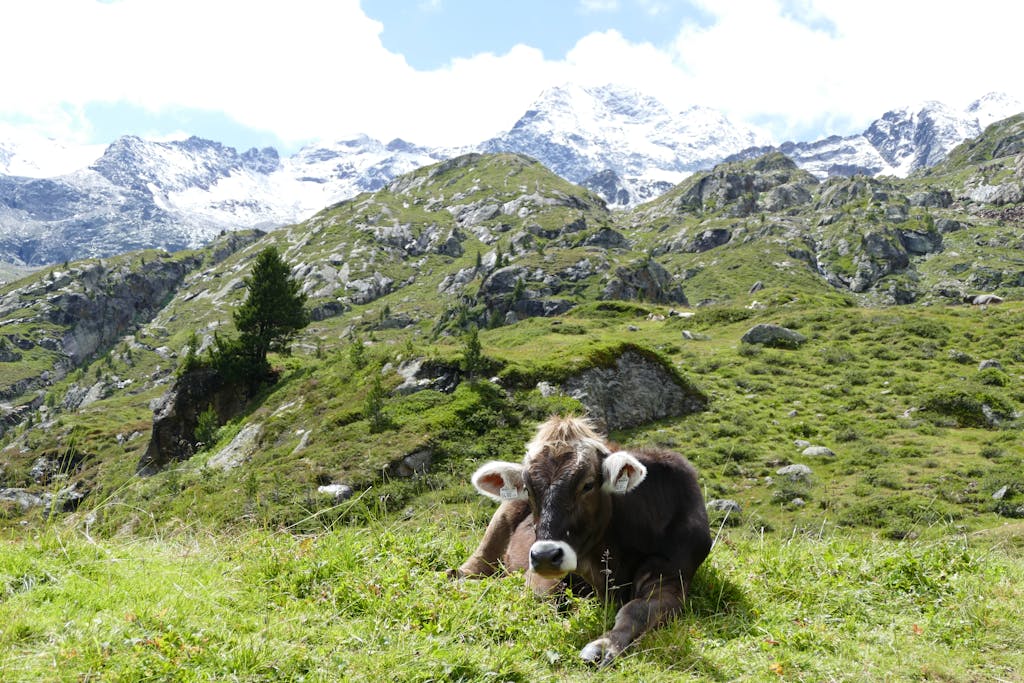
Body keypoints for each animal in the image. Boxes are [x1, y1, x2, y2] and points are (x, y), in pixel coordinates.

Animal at [453, 415, 712, 665]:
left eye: (588, 485)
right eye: (528, 489)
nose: (545, 556)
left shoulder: (672, 577)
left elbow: (636, 610)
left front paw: (603, 645)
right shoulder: (542, 573)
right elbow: (543, 598)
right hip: (500, 523)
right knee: (473, 568)